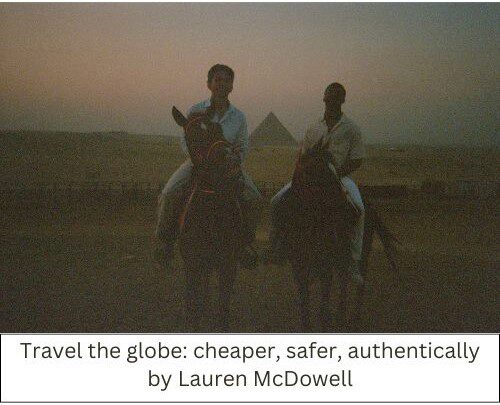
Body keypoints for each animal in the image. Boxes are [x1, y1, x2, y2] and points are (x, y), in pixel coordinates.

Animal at [170, 105, 244, 330]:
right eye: (192, 137)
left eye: (219, 129)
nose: (231, 165)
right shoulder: (192, 266)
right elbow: (193, 310)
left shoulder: (228, 265)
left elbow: (223, 312)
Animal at [274, 137, 398, 330]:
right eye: (320, 172)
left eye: (335, 173)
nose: (351, 211)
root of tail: (369, 202)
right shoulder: (298, 263)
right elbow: (304, 301)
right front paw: (307, 325)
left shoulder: (326, 264)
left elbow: (323, 305)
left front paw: (325, 322)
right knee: (343, 280)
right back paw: (341, 313)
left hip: (362, 250)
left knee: (358, 281)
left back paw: (354, 317)